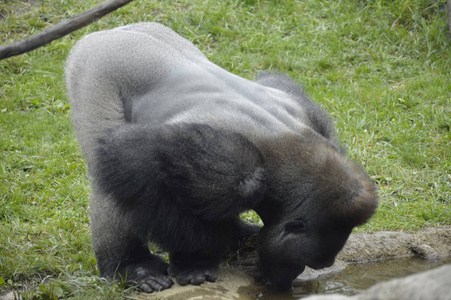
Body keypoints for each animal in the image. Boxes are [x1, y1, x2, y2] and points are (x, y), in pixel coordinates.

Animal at [65, 22, 380, 292]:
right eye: (304, 262)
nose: (289, 281)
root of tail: (110, 31)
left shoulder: (311, 120)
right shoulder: (226, 166)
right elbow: (135, 162)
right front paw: (195, 260)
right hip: (93, 66)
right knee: (108, 170)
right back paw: (130, 266)